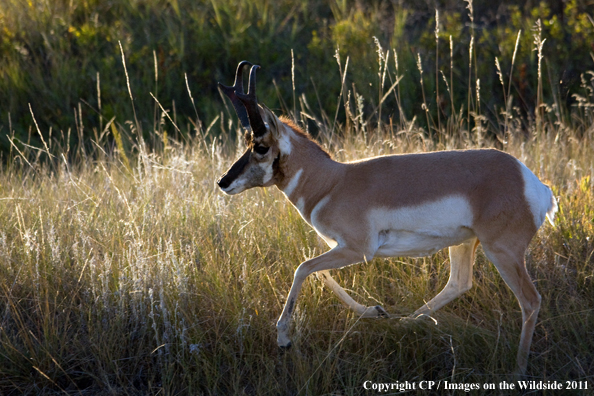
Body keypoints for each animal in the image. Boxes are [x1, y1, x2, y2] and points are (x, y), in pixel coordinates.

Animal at [216, 60, 556, 372]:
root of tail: (532, 182)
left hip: (501, 252)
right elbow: (318, 272)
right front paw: (376, 311)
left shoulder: (357, 250)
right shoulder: (340, 248)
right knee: (459, 284)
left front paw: (284, 338)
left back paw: (518, 369)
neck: (334, 180)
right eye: (247, 143)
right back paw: (401, 323)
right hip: (464, 244)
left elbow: (303, 268)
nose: (223, 182)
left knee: (531, 301)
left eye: (261, 146)